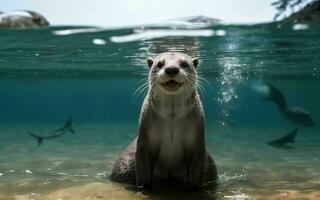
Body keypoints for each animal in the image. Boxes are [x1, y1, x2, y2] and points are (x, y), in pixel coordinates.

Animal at [110, 51, 218, 189]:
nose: (171, 69)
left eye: (184, 64)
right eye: (160, 64)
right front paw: (144, 188)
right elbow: (143, 167)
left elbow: (196, 171)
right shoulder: (145, 141)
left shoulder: (197, 142)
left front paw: (194, 188)